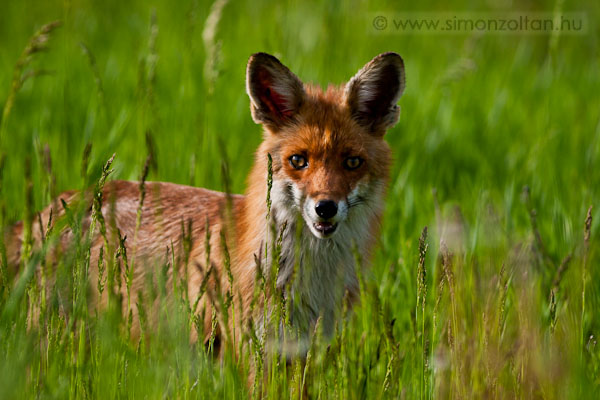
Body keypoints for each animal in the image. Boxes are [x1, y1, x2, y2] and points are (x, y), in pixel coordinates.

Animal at [4, 52, 406, 354]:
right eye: (298, 160)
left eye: (352, 162)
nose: (325, 207)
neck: (310, 280)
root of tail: (61, 204)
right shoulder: (249, 349)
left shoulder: (313, 351)